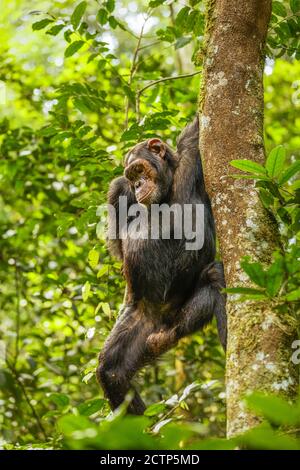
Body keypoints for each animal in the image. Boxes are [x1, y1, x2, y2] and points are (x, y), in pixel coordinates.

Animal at [97, 115, 226, 414]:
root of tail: (163, 326)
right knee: (112, 371)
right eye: (131, 177)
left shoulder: (190, 145)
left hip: (185, 311)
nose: (138, 186)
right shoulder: (117, 190)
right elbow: (121, 246)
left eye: (139, 169)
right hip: (141, 320)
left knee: (215, 282)